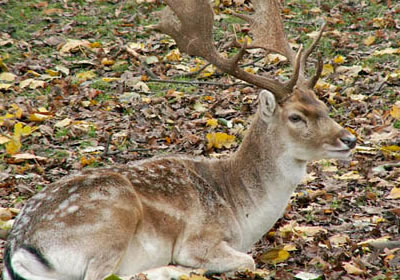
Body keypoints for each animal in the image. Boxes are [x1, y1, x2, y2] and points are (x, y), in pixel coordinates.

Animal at [3, 0, 356, 280]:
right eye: (296, 117)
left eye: (323, 106)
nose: (349, 139)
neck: (242, 213)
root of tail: (19, 249)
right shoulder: (199, 240)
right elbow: (248, 260)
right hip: (111, 219)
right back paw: (172, 270)